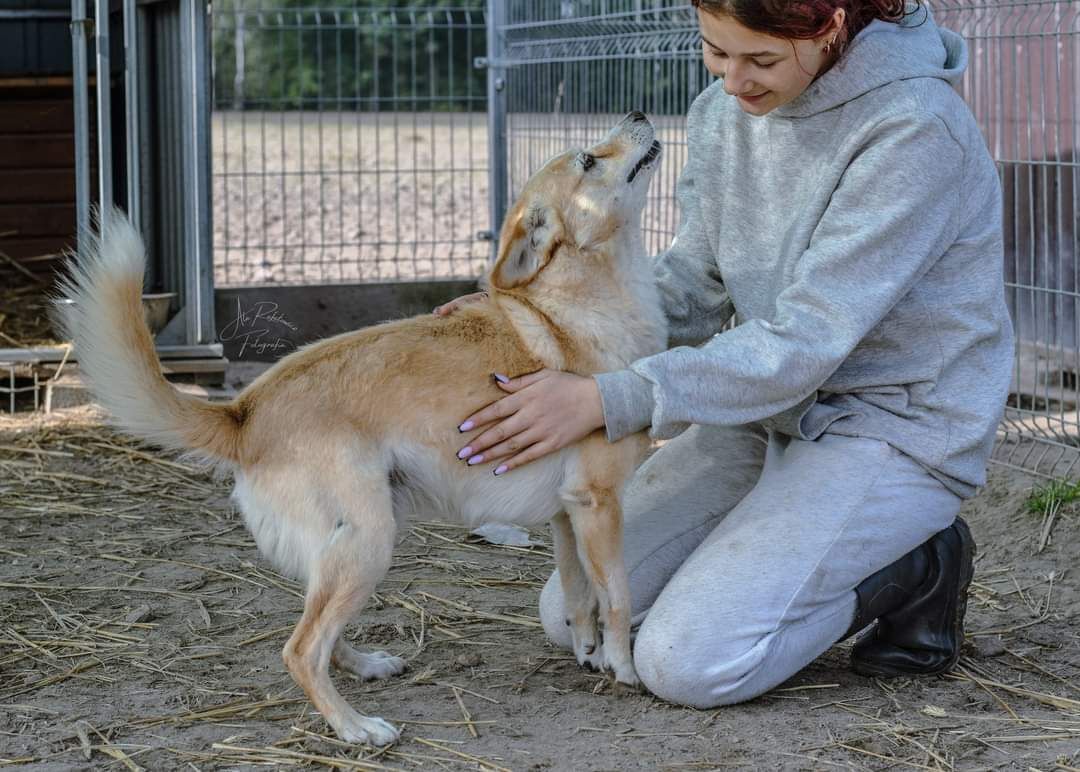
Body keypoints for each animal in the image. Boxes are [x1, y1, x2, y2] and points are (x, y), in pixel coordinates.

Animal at [54, 111, 669, 747]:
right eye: (589, 161)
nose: (639, 115)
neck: (582, 305)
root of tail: (244, 412)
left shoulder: (566, 514)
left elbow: (579, 593)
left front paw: (589, 651)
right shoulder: (598, 504)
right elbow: (617, 596)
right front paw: (624, 667)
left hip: (345, 546)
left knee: (319, 629)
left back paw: (368, 666)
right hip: (370, 540)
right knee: (300, 649)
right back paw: (356, 728)